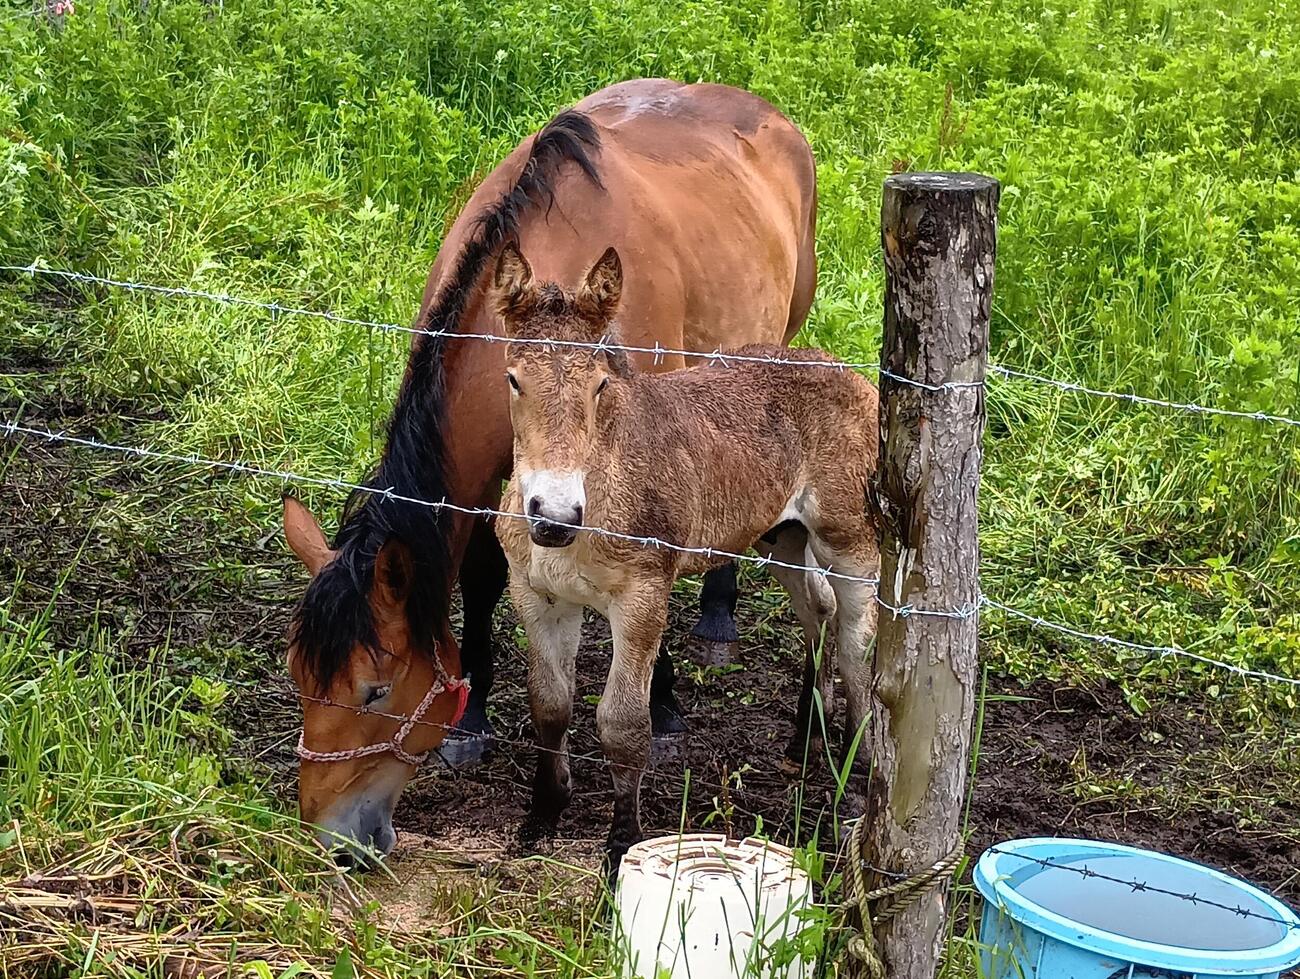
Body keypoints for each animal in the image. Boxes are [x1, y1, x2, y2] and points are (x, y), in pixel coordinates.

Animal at [280, 79, 817, 861]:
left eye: (373, 690)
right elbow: (481, 577)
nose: (330, 838)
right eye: (297, 676)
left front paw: (661, 700)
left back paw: (718, 611)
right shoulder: (499, 487)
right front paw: (472, 716)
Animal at [491, 241, 881, 872]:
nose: (554, 515)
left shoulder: (643, 597)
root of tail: (848, 372)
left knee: (856, 640)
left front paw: (620, 847)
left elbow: (623, 724)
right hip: (781, 539)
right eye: (513, 379)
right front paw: (541, 817)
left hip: (848, 540)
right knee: (816, 611)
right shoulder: (538, 595)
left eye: (599, 385)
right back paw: (804, 737)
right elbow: (549, 705)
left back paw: (858, 769)